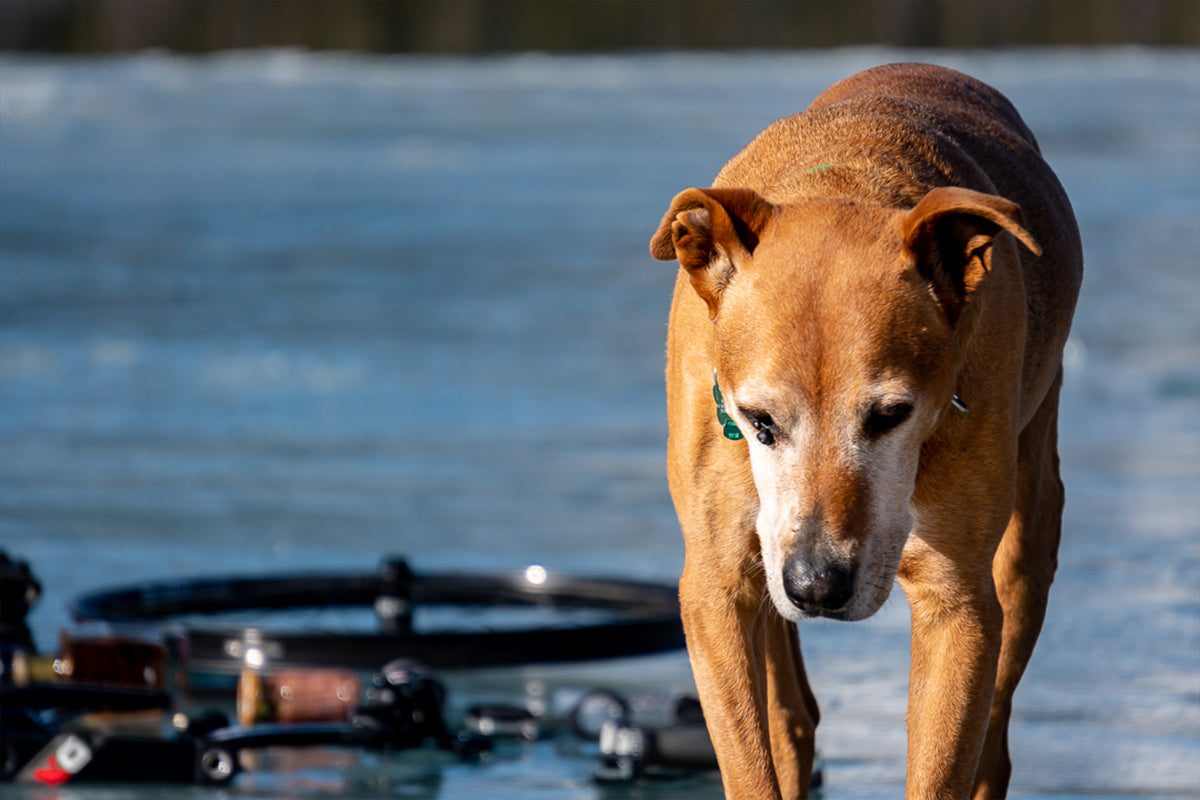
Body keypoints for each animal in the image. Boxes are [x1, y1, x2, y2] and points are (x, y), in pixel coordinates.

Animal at [652, 64, 1084, 800]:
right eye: (758, 419)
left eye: (890, 415)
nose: (817, 585)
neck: (846, 182)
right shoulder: (716, 584)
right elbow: (750, 757)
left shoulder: (958, 605)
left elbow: (943, 765)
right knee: (792, 717)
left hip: (1027, 535)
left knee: (994, 737)